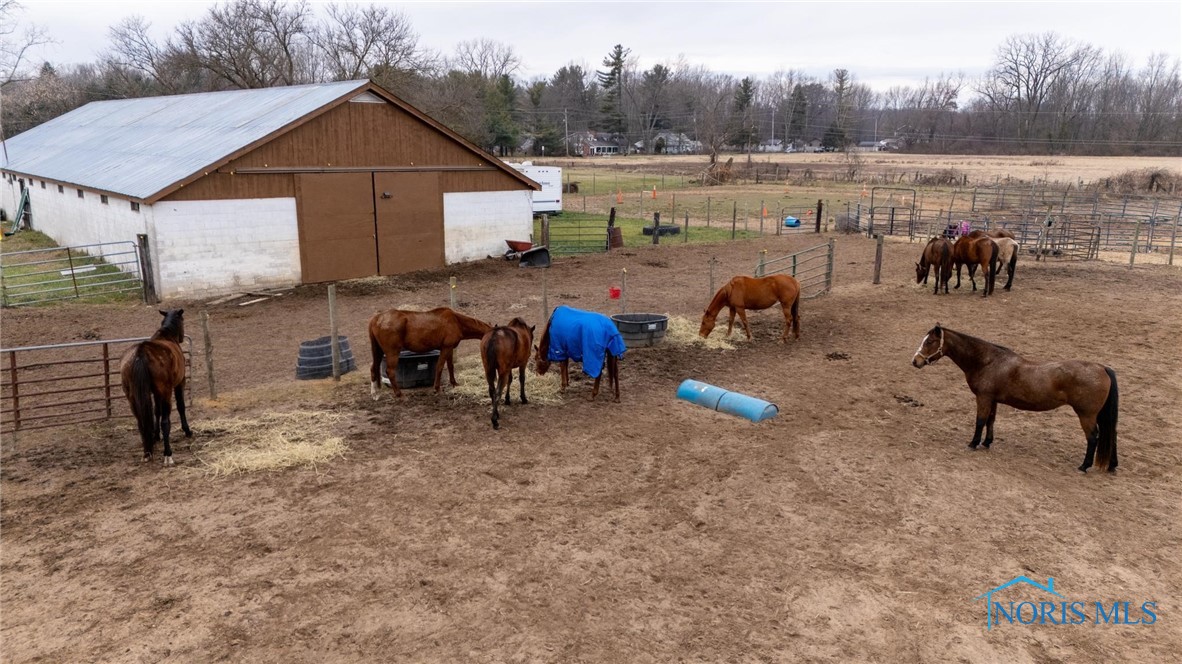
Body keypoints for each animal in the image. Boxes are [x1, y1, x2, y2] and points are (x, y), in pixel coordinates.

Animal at [119, 307, 191, 463]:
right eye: (183, 320)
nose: (182, 338)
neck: (166, 335)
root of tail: (141, 352)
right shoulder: (179, 383)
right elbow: (181, 407)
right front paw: (187, 430)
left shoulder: (155, 393)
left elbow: (156, 411)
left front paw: (156, 436)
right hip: (166, 392)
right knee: (166, 421)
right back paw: (168, 454)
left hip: (132, 397)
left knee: (141, 422)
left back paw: (147, 451)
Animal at [912, 323, 1115, 470]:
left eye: (929, 342)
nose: (915, 361)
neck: (988, 362)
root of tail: (1102, 368)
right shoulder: (992, 400)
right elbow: (990, 421)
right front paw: (987, 442)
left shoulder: (983, 398)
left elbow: (980, 421)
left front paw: (973, 443)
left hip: (1086, 416)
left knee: (1093, 438)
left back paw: (1084, 466)